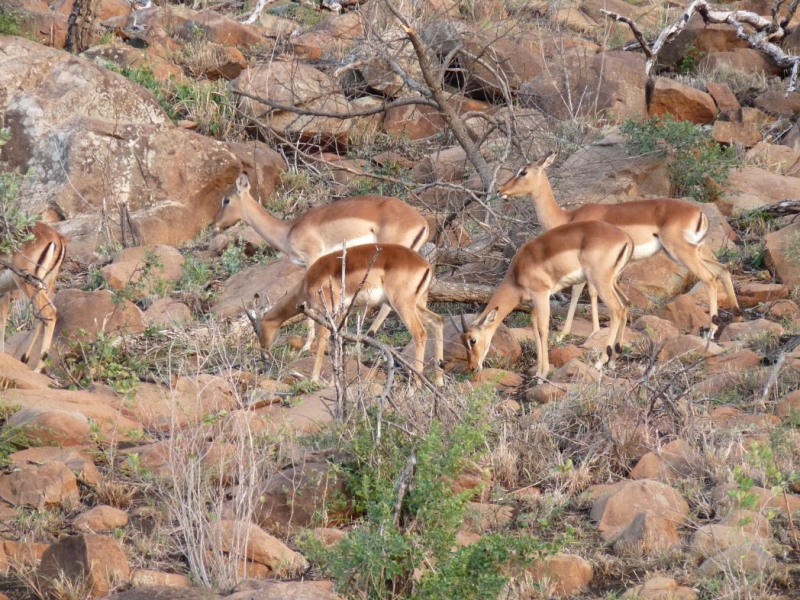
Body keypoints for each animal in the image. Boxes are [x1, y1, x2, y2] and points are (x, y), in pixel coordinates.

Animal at [0, 220, 67, 370]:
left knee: (50, 313)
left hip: (27, 282)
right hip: (45, 284)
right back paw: (24, 357)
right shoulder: (3, 293)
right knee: (42, 316)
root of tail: (59, 237)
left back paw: (37, 368)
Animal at [216, 173, 432, 350]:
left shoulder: (313, 259)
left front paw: (307, 345)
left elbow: (309, 305)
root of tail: (422, 223)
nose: (215, 224)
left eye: (226, 200)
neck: (289, 230)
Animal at [250, 243, 444, 384]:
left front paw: (314, 379)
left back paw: (414, 389)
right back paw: (439, 381)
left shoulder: (328, 312)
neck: (307, 282)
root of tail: (425, 265)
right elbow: (339, 342)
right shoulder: (341, 314)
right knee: (438, 321)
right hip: (415, 305)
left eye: (256, 329)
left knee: (420, 333)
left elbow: (322, 343)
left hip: (402, 305)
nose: (264, 356)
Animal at [462, 220, 632, 380]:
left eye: (473, 340)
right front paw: (537, 372)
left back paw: (600, 362)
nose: (472, 367)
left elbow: (543, 329)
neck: (516, 275)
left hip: (600, 281)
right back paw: (613, 360)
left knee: (616, 309)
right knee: (626, 304)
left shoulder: (542, 294)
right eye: (462, 340)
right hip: (612, 282)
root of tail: (625, 238)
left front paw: (543, 374)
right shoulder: (535, 302)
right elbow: (534, 326)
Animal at [500, 154, 736, 338]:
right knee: (722, 269)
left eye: (523, 172)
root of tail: (699, 212)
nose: (501, 188)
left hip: (683, 253)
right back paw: (734, 313)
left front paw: (586, 331)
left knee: (710, 278)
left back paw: (712, 331)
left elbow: (586, 292)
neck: (568, 217)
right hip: (694, 251)